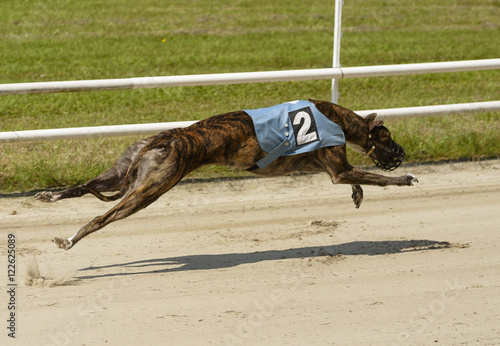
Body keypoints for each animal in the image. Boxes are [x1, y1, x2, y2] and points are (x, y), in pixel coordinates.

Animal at [35, 99, 416, 249]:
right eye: (388, 137)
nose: (402, 154)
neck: (337, 118)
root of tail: (164, 139)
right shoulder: (337, 167)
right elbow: (376, 178)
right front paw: (406, 179)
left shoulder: (325, 167)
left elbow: (354, 180)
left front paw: (358, 195)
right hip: (149, 189)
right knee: (101, 217)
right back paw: (69, 239)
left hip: (122, 171)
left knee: (83, 186)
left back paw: (50, 195)